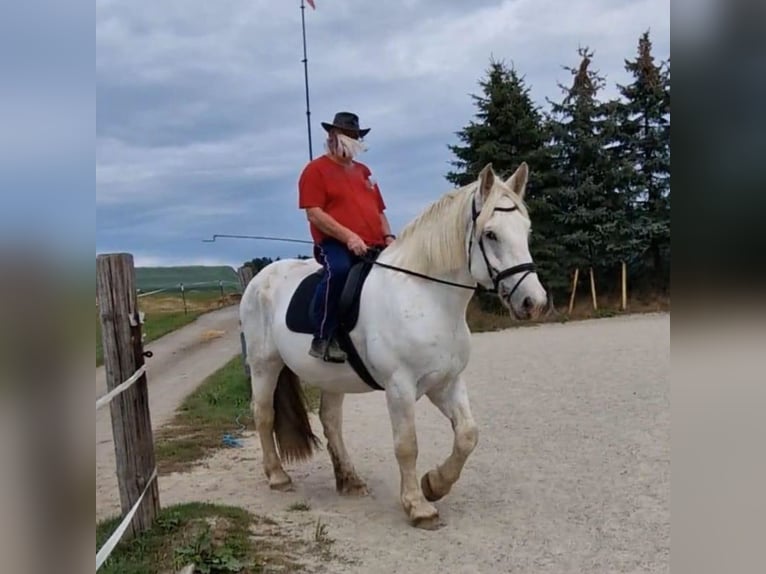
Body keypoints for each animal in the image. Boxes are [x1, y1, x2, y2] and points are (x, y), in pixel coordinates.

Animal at [239, 162, 548, 529]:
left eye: (526, 231)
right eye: (491, 234)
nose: (533, 302)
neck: (427, 296)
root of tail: (260, 277)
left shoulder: (446, 382)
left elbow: (468, 435)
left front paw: (434, 484)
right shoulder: (400, 386)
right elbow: (406, 445)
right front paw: (418, 506)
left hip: (330, 377)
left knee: (331, 421)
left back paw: (350, 480)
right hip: (264, 365)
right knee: (264, 414)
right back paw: (277, 476)